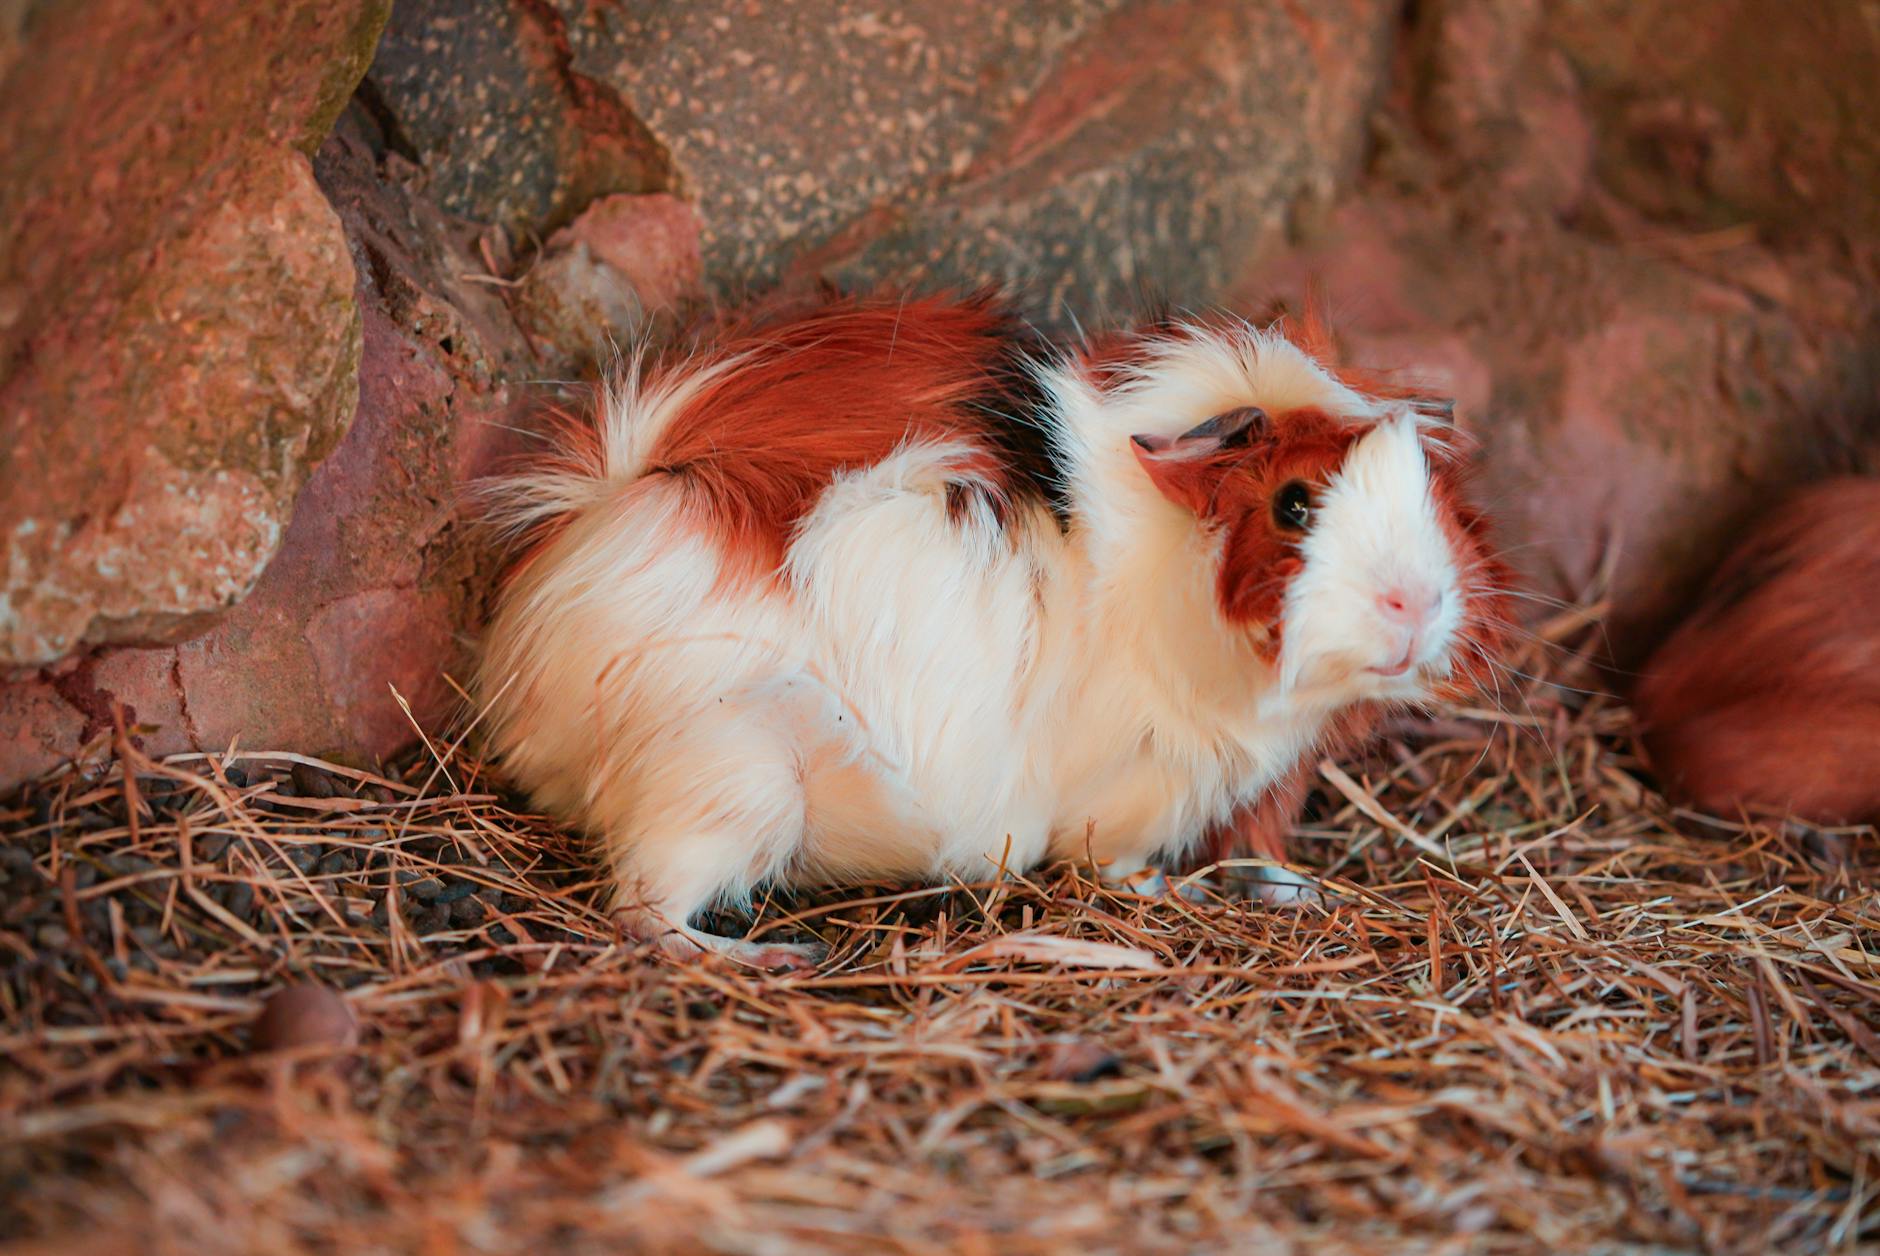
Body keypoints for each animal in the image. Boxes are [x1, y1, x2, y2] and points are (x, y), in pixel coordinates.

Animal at [475, 292, 1513, 967]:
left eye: (1439, 500)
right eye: (1294, 504)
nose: (1416, 603)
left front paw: (1290, 889)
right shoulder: (1133, 799)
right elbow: (1121, 865)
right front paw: (1186, 892)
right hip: (730, 787)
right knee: (644, 914)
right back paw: (775, 956)